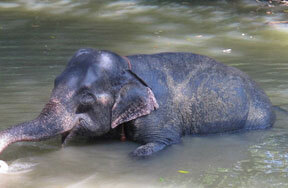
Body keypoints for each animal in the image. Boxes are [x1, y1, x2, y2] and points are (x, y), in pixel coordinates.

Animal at [0, 48, 276, 157]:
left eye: (86, 97)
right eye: (55, 81)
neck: (127, 67)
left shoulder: (159, 114)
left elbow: (166, 141)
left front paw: (135, 153)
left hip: (257, 117)